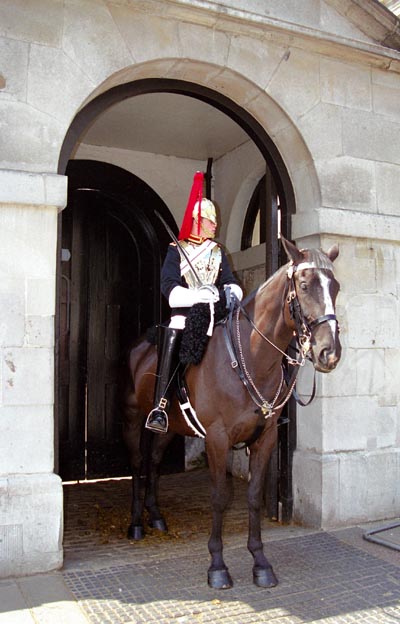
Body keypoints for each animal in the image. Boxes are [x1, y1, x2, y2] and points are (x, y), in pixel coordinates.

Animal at [122, 236, 340, 588]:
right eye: (305, 285)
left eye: (335, 286)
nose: (329, 352)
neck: (249, 357)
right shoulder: (217, 439)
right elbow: (219, 497)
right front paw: (217, 565)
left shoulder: (265, 439)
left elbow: (252, 495)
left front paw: (260, 563)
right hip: (132, 418)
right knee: (139, 463)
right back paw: (136, 524)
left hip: (171, 429)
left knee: (154, 462)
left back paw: (155, 517)